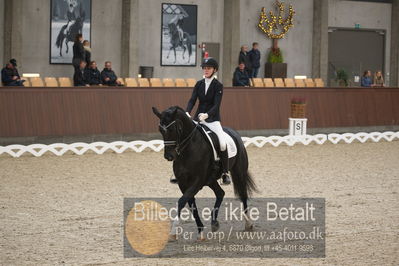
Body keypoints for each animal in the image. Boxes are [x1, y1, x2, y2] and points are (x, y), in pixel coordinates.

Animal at [152, 106, 258, 241]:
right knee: (220, 193)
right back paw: (214, 223)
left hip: (238, 172)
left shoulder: (197, 181)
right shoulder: (183, 184)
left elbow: (181, 202)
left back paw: (248, 224)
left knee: (243, 194)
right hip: (211, 180)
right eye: (160, 130)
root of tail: (234, 133)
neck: (188, 149)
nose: (169, 156)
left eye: (172, 129)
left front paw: (173, 231)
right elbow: (191, 205)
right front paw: (200, 232)